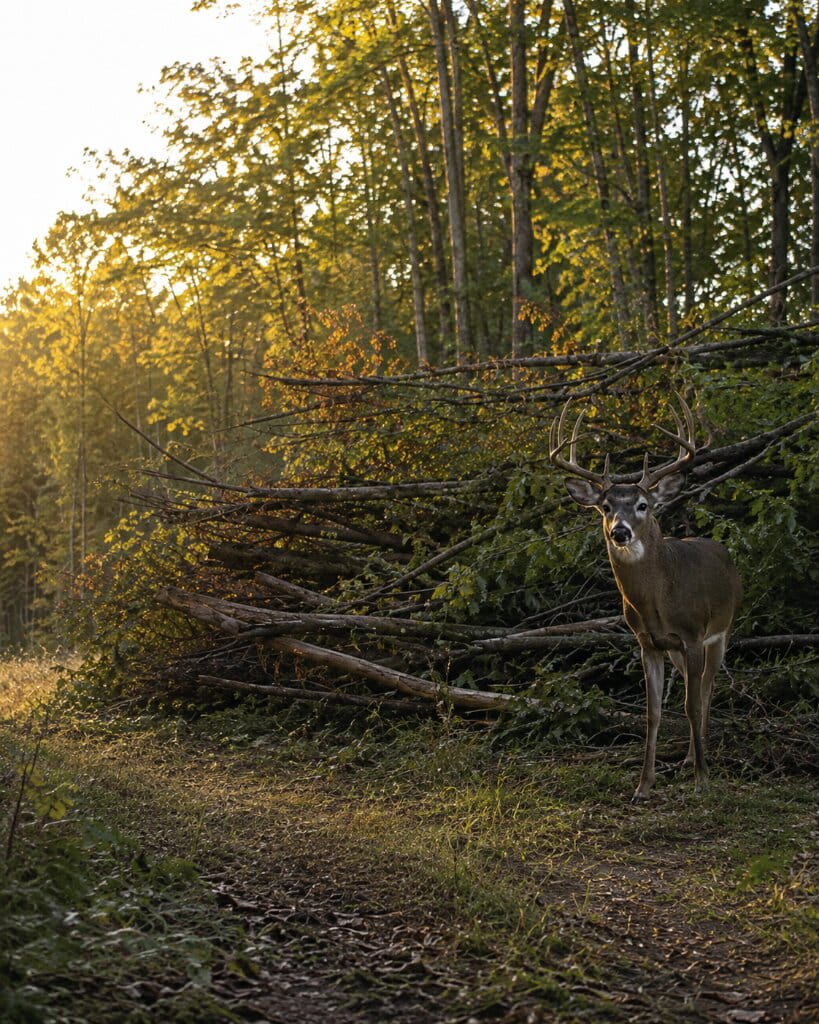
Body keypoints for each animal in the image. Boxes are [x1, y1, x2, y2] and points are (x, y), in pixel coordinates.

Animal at [549, 396, 742, 803]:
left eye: (642, 505)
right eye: (605, 507)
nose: (619, 532)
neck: (659, 601)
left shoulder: (693, 634)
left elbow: (690, 703)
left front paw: (702, 779)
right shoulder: (647, 642)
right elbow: (653, 712)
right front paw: (643, 785)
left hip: (723, 630)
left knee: (706, 688)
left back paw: (701, 756)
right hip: (677, 649)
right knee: (694, 686)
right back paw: (689, 756)